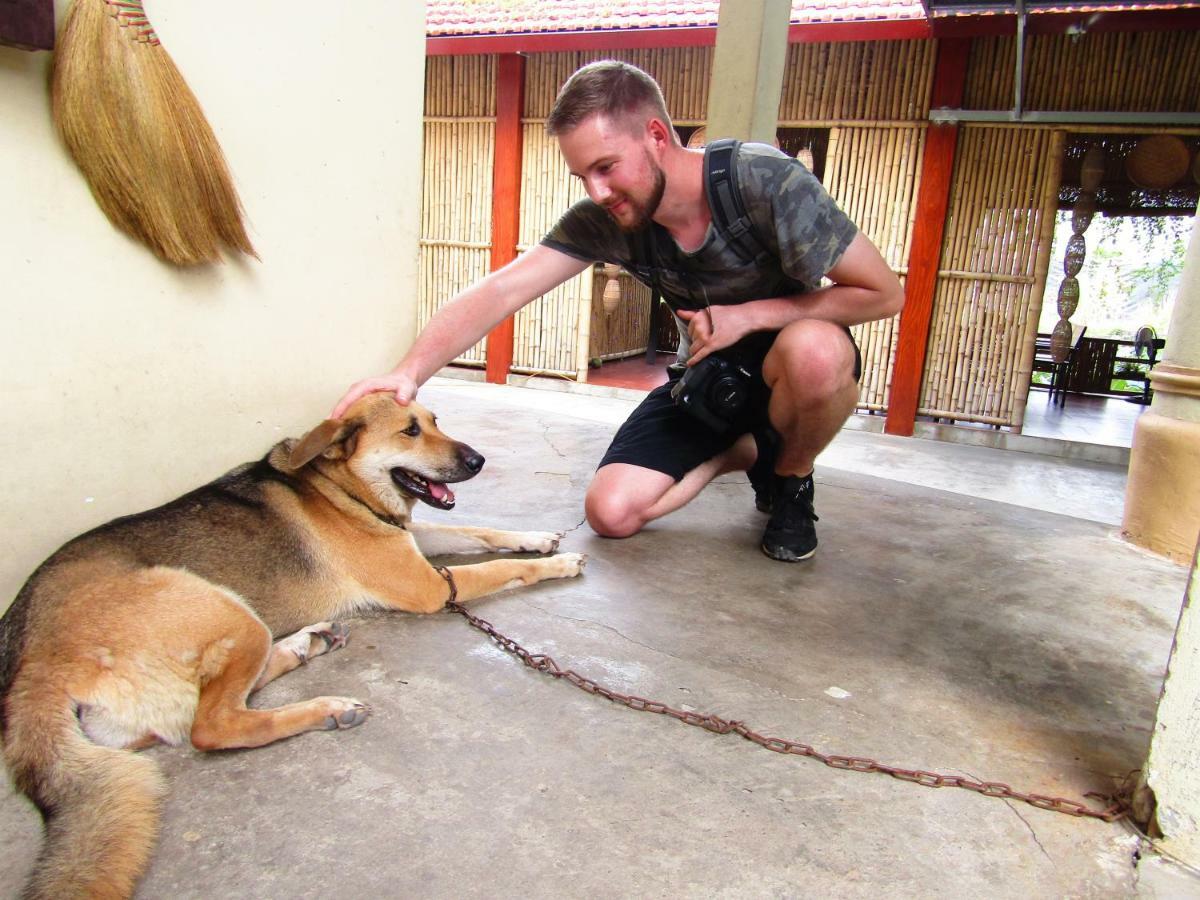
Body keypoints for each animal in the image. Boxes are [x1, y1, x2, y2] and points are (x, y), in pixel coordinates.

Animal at [0, 398, 585, 900]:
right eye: (410, 431)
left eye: (435, 420)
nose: (478, 459)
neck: (338, 486)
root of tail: (30, 665)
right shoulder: (431, 587)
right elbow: (497, 567)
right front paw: (555, 564)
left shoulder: (416, 544)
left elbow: (478, 529)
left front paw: (535, 537)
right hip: (223, 607)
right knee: (213, 725)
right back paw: (326, 707)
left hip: (230, 631)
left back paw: (308, 643)